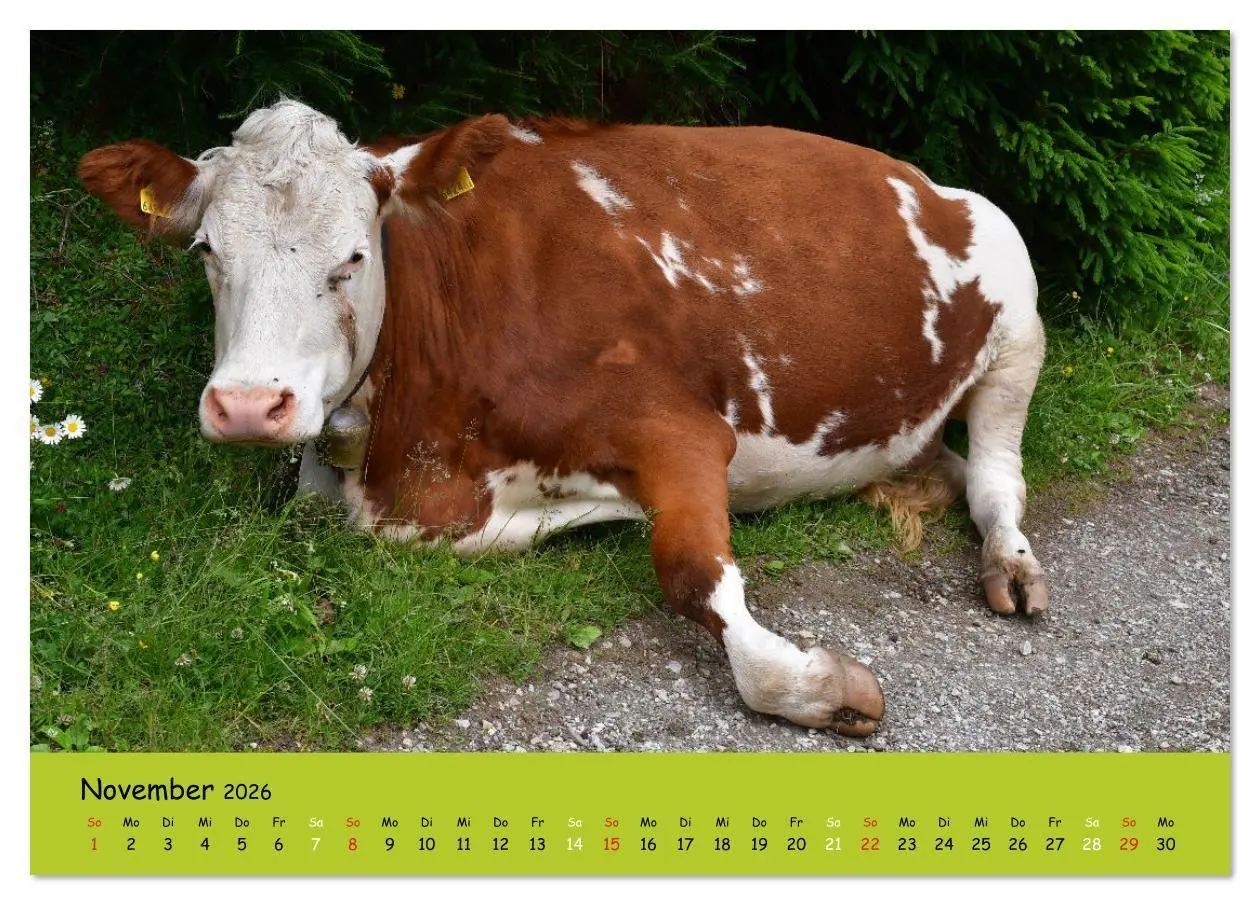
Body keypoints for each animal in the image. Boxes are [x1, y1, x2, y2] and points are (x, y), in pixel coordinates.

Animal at [78, 99, 1047, 737]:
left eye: (352, 256)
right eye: (207, 250)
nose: (249, 404)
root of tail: (914, 172)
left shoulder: (681, 426)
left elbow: (693, 574)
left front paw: (828, 684)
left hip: (1019, 322)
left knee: (997, 479)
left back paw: (1013, 565)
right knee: (948, 469)